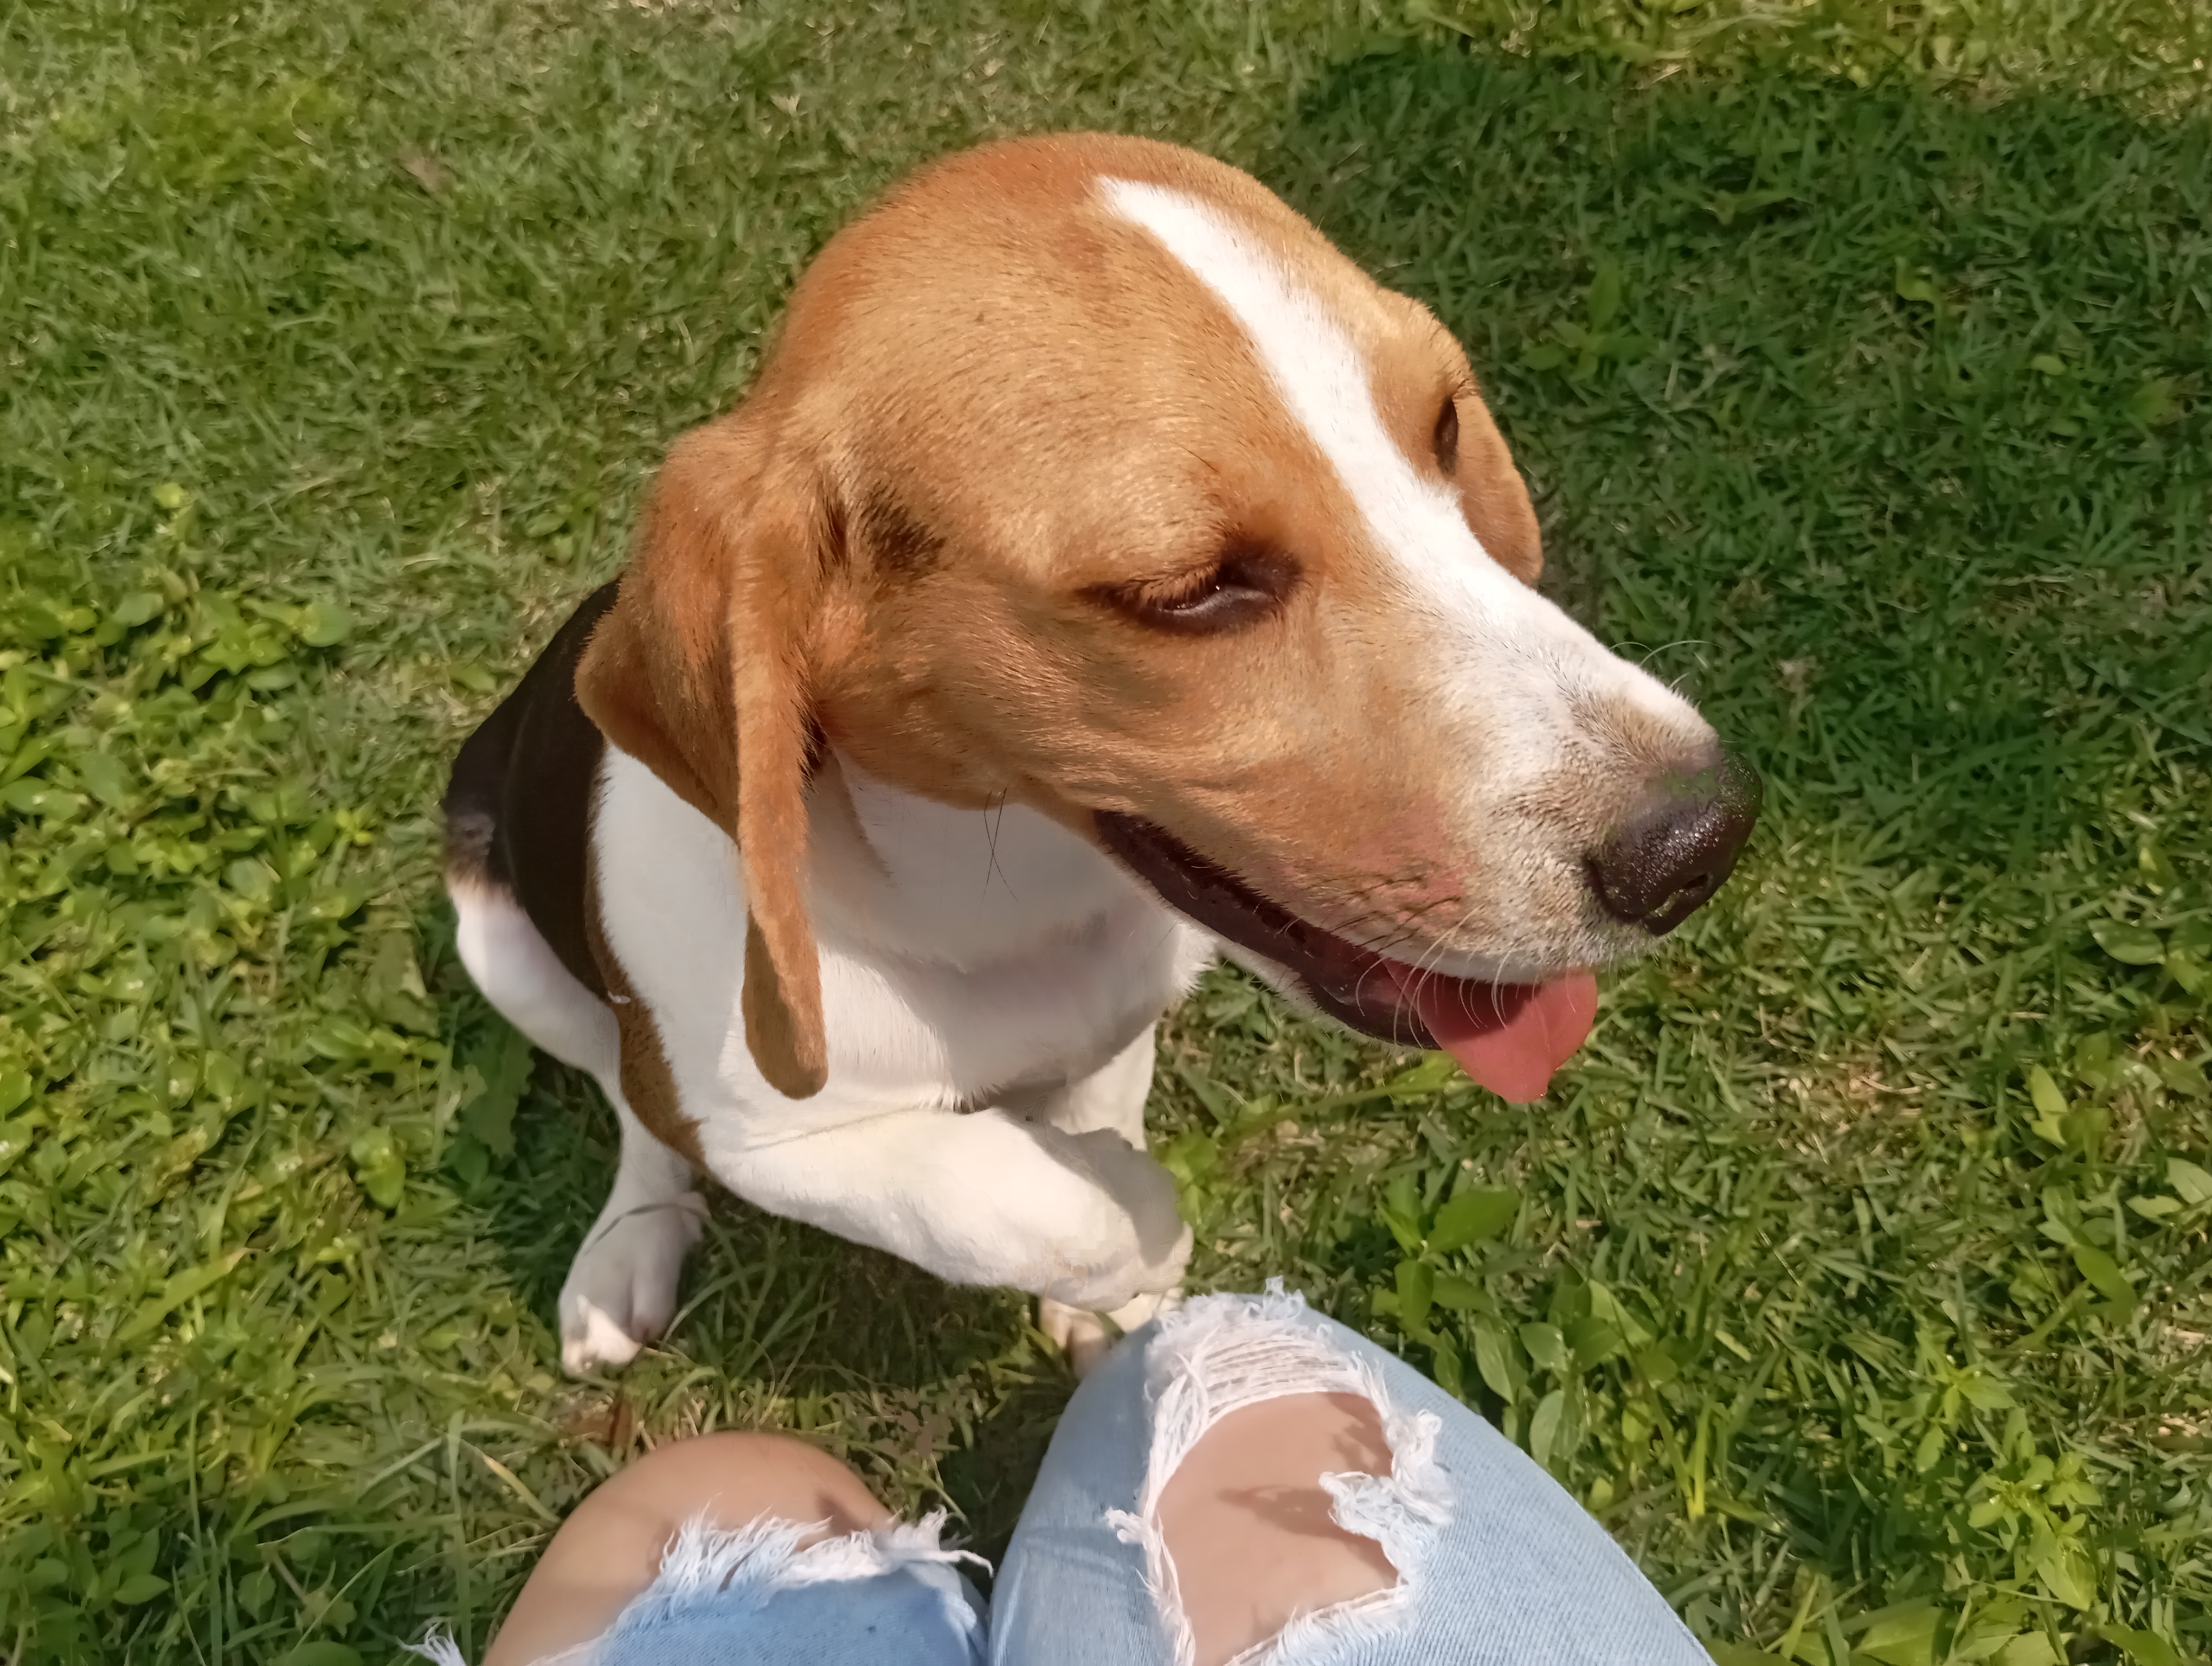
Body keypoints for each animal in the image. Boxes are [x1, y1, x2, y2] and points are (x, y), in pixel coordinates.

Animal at [445, 136, 1760, 1372]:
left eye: (1441, 423)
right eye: (1187, 590)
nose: (1696, 844)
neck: (1014, 898)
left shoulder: (1124, 1017)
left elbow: (1090, 1128)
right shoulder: (766, 1133)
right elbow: (1022, 1195)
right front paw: (1135, 1225)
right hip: (498, 944)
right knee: (629, 1108)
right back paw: (625, 1250)